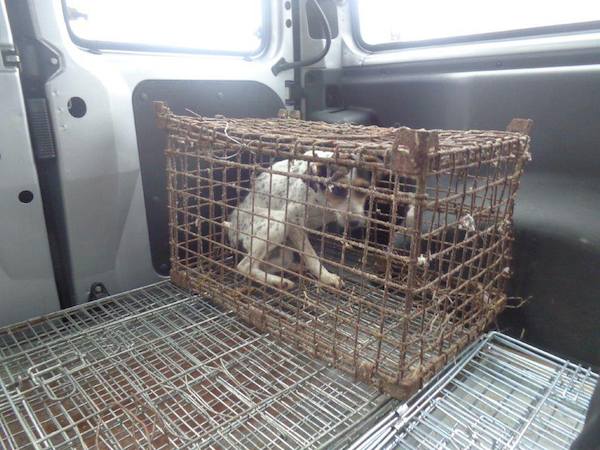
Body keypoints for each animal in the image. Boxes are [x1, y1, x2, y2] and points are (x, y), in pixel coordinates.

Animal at [223, 149, 370, 290]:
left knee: (268, 265)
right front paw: (326, 277)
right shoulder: (293, 220)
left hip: (283, 252)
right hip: (278, 221)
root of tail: (231, 228)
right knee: (245, 266)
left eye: (364, 189)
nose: (355, 223)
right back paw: (279, 282)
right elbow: (311, 256)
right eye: (337, 189)